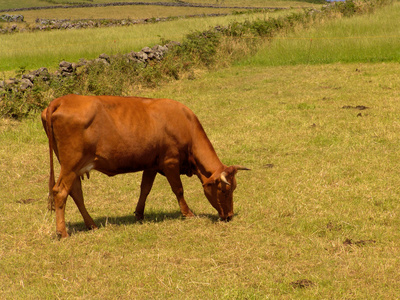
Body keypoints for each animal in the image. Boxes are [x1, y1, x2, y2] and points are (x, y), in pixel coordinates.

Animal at [40, 95, 247, 238]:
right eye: (224, 190)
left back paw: (91, 225)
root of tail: (61, 100)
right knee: (61, 192)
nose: (229, 215)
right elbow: (178, 189)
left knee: (75, 192)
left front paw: (139, 214)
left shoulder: (151, 165)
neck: (185, 124)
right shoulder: (170, 162)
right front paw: (187, 213)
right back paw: (62, 233)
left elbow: (145, 189)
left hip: (73, 167)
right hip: (71, 164)